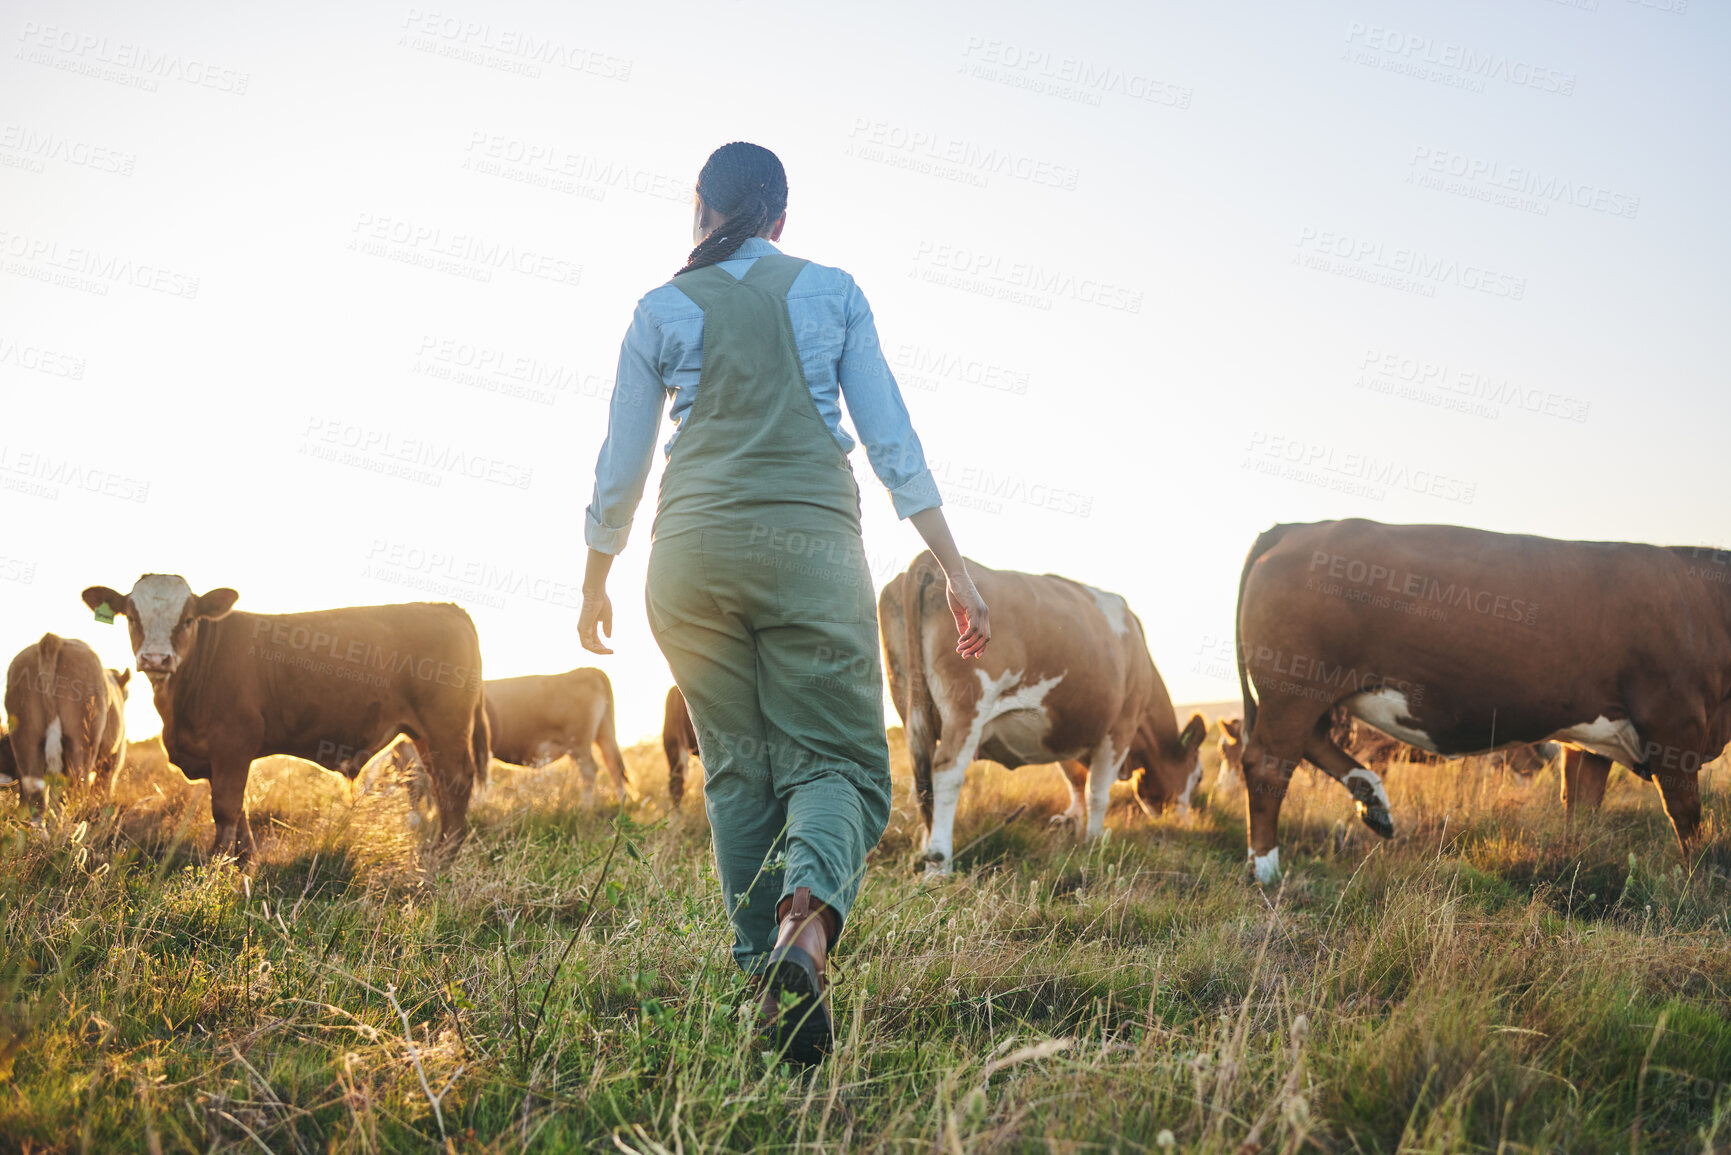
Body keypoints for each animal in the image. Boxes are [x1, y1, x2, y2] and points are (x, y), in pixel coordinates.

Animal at [3, 637, 129, 817]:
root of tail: (53, 639)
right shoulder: (113, 759)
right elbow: (103, 788)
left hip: (25, 740)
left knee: (36, 795)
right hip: (81, 742)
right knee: (75, 786)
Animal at [77, 578, 488, 858]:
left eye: (189, 619)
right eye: (132, 617)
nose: (156, 658)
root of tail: (447, 607)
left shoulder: (234, 743)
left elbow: (225, 808)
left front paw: (217, 864)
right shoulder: (218, 757)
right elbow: (239, 808)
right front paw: (244, 859)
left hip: (446, 727)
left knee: (455, 784)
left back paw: (445, 856)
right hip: (425, 735)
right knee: (441, 786)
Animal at [879, 554, 1204, 872]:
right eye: (1199, 777)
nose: (1189, 822)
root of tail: (927, 563)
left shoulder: (1065, 733)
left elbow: (1075, 782)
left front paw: (1072, 825)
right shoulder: (1120, 727)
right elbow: (1097, 793)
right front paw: (1094, 842)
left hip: (909, 706)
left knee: (923, 782)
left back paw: (924, 851)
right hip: (966, 710)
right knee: (947, 775)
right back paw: (939, 862)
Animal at [1232, 519, 1731, 879]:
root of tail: (1299, 527)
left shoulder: (1590, 739)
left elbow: (1582, 809)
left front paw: (1576, 863)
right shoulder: (1674, 722)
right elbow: (1685, 814)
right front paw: (1698, 882)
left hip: (1316, 694)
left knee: (1312, 744)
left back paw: (1371, 800)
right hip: (1295, 689)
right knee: (1268, 763)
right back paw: (1266, 870)